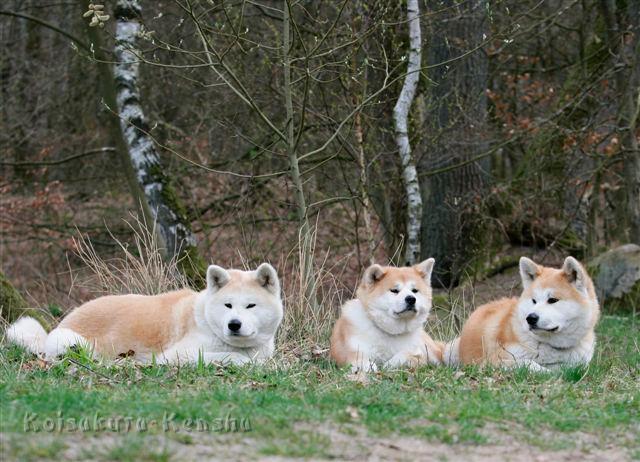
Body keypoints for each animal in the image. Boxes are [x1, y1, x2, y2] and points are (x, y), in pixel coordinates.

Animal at [6, 264, 282, 364]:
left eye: (250, 306)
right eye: (227, 306)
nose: (234, 324)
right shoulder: (176, 355)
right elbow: (235, 357)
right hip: (72, 341)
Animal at [444, 254, 600, 370]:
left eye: (552, 300)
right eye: (534, 301)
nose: (530, 318)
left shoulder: (579, 365)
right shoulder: (494, 361)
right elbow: (530, 364)